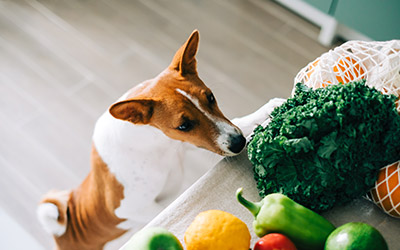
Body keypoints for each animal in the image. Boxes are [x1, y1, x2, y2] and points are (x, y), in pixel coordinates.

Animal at [36, 30, 282, 249]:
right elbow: (164, 209)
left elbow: (239, 121)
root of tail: (63, 233)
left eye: (211, 97)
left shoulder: (187, 144)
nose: (239, 143)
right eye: (183, 126)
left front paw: (270, 109)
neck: (156, 145)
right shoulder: (129, 208)